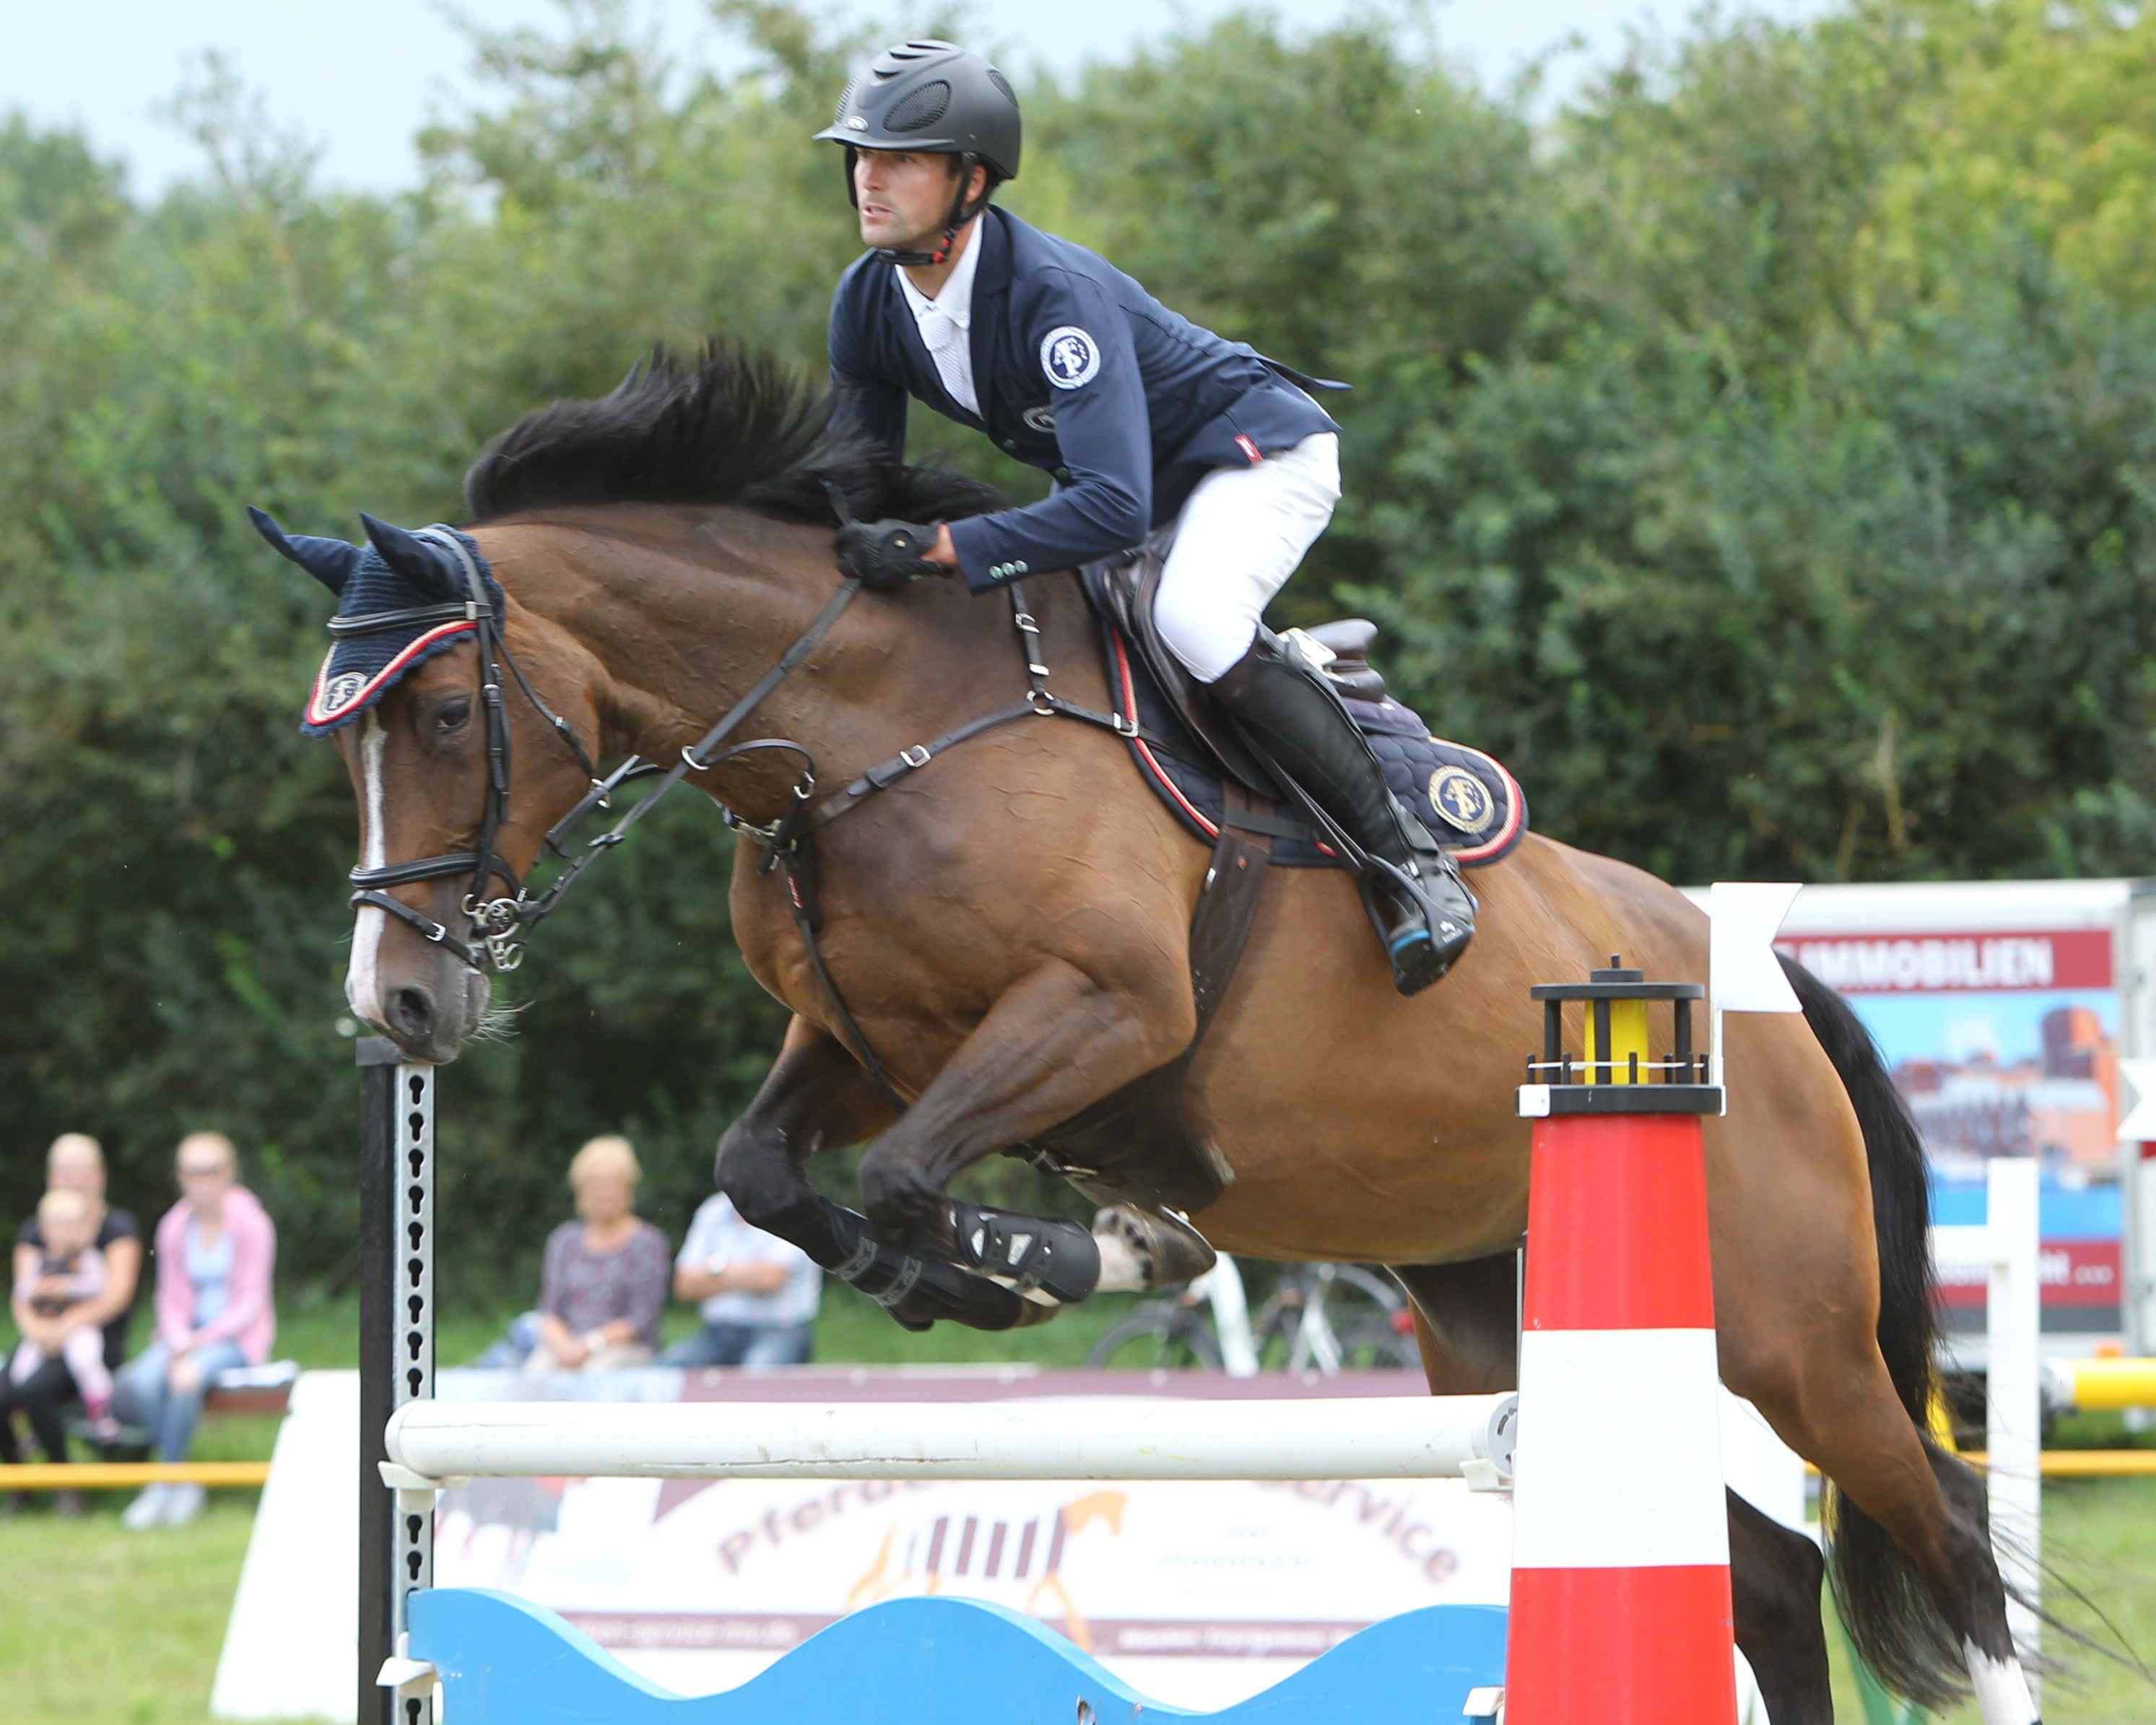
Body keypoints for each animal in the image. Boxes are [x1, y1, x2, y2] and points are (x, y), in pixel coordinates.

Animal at [274, 347, 2035, 1725]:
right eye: (340, 740)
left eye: (445, 715)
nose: (398, 1004)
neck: (863, 728)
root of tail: (1760, 984)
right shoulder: (854, 1038)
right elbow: (765, 1168)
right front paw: (1030, 1259)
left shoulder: (1104, 1007)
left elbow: (911, 1176)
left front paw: (1054, 1258)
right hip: (1494, 1317)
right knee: (1769, 1574)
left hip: (1791, 1337)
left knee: (1943, 1532)